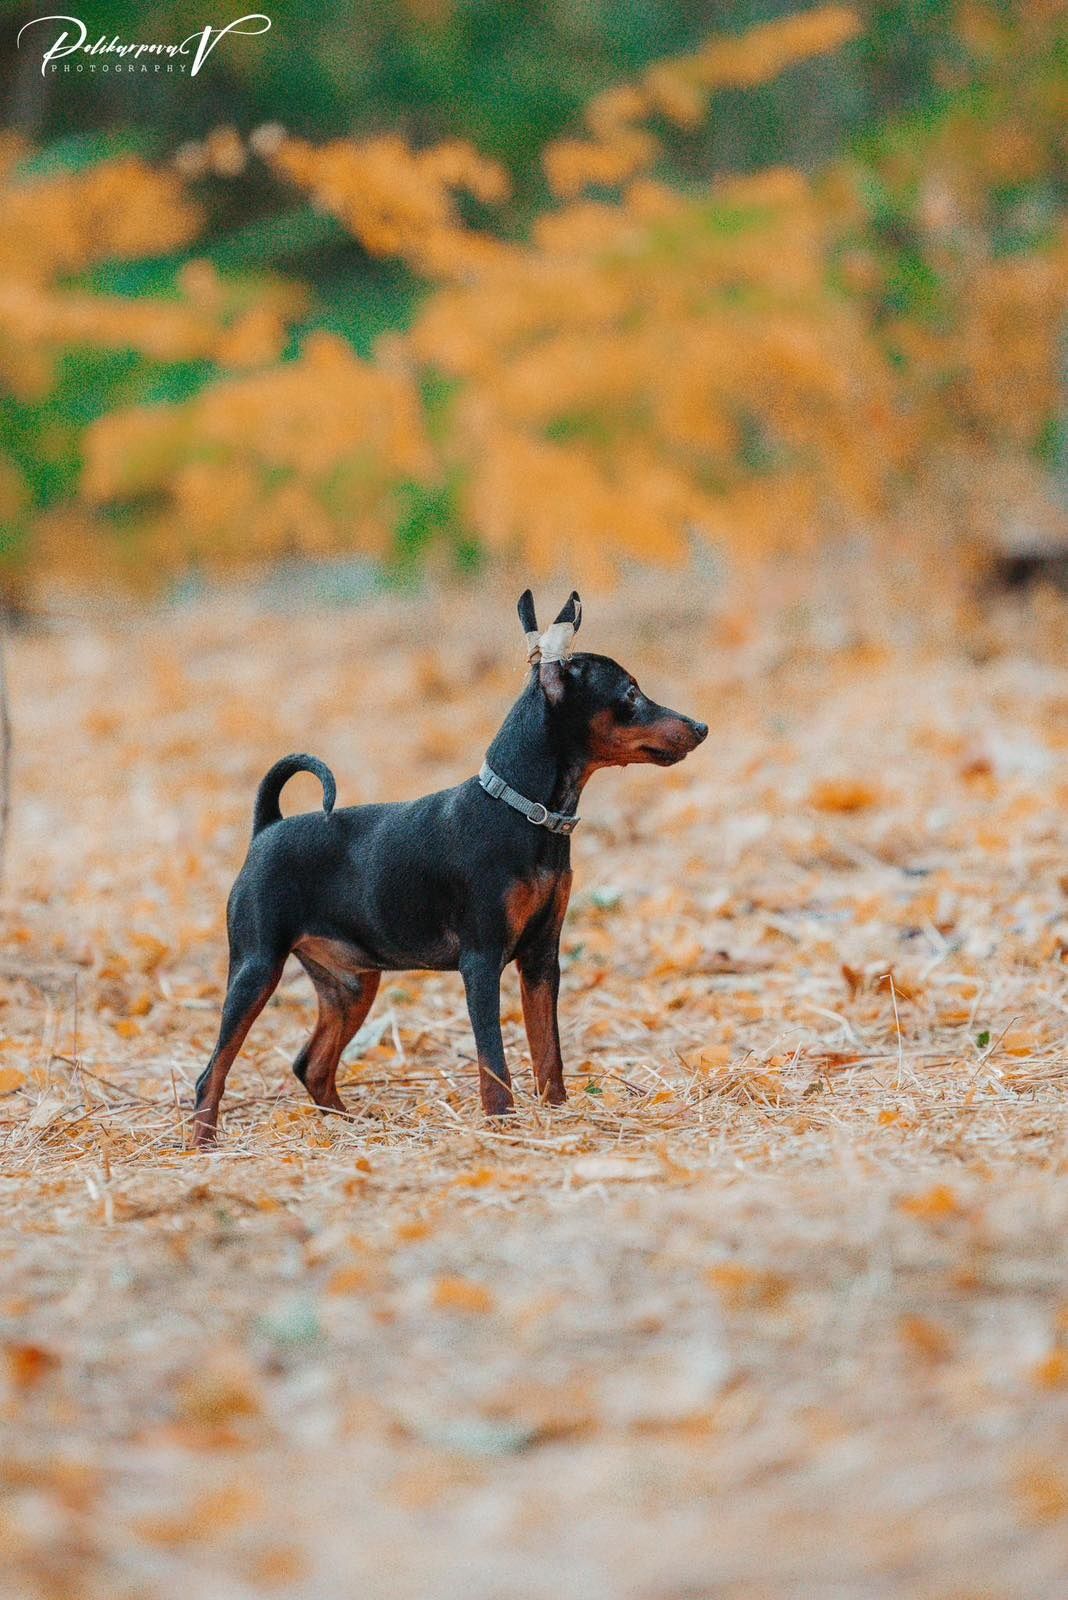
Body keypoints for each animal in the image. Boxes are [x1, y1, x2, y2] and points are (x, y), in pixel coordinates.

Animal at [195, 595, 703, 1145]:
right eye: (630, 693)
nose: (700, 727)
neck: (524, 813)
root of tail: (266, 829)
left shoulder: (541, 959)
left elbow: (548, 1053)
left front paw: (557, 1112)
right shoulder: (480, 962)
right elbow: (493, 1060)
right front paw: (502, 1123)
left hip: (352, 984)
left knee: (311, 1064)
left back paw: (353, 1128)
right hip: (257, 967)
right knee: (212, 1074)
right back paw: (203, 1146)